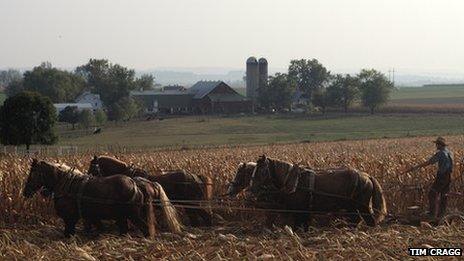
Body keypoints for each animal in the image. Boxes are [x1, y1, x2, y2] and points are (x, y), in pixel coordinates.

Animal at [23, 158, 182, 236]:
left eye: (32, 173)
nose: (25, 192)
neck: (66, 184)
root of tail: (137, 184)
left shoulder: (70, 219)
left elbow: (68, 233)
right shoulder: (91, 218)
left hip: (133, 216)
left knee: (145, 229)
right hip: (125, 216)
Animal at [250, 155, 388, 229]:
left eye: (262, 171)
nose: (251, 188)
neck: (294, 180)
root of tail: (367, 176)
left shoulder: (300, 210)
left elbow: (299, 226)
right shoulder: (303, 212)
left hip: (362, 206)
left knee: (369, 221)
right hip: (353, 207)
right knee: (355, 220)